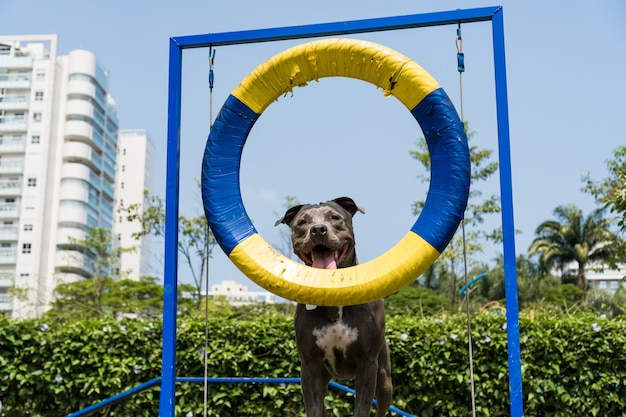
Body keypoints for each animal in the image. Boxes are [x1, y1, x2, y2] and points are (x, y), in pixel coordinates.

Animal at [274, 197, 390, 416]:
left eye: (335, 217)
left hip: (385, 379)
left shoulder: (368, 363)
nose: (318, 229)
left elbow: (362, 407)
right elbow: (314, 407)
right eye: (302, 222)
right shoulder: (310, 366)